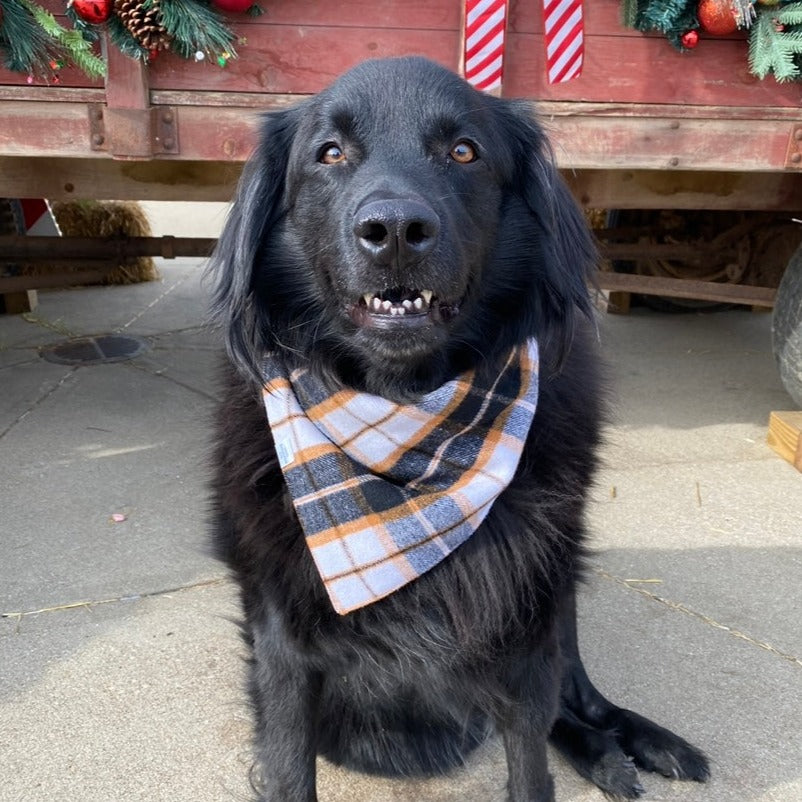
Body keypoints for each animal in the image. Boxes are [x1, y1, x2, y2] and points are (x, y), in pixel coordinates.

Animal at [206, 57, 708, 800]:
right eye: (330, 153)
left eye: (464, 152)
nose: (394, 230)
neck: (406, 429)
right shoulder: (281, 640)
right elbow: (290, 766)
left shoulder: (525, 624)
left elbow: (531, 754)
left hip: (560, 589)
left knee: (578, 696)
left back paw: (630, 744)